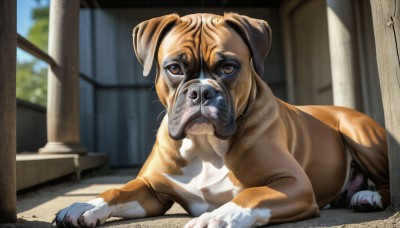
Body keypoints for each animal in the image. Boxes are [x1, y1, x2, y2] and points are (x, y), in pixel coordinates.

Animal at [53, 13, 388, 227]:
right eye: (174, 68)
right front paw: (85, 206)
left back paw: (367, 195)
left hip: (358, 132)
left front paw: (214, 217)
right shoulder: (151, 191)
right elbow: (116, 191)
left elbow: (251, 196)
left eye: (228, 67)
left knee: (386, 180)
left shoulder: (293, 183)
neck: (204, 146)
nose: (201, 91)